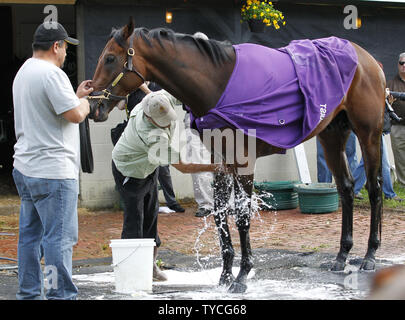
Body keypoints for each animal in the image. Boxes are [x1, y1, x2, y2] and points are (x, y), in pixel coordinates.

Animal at [87, 17, 386, 292]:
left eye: (110, 58)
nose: (93, 107)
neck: (219, 84)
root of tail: (368, 60)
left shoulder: (244, 162)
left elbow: (241, 215)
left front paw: (242, 276)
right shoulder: (219, 161)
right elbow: (221, 215)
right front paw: (225, 275)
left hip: (368, 135)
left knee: (374, 189)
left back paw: (370, 255)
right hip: (331, 136)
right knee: (346, 189)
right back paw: (342, 255)